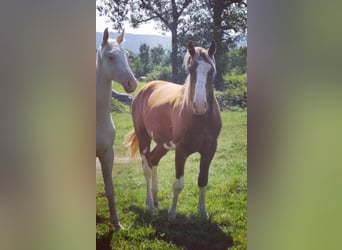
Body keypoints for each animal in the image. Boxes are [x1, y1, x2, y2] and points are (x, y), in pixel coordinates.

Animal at [125, 41, 222, 221]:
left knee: (153, 160)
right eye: (191, 69)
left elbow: (203, 180)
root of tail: (145, 88)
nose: (199, 105)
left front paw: (203, 212)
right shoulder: (181, 151)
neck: (199, 119)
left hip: (163, 144)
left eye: (211, 70)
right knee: (147, 167)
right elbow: (178, 184)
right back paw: (150, 205)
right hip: (144, 138)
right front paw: (172, 213)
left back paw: (155, 199)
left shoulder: (210, 150)